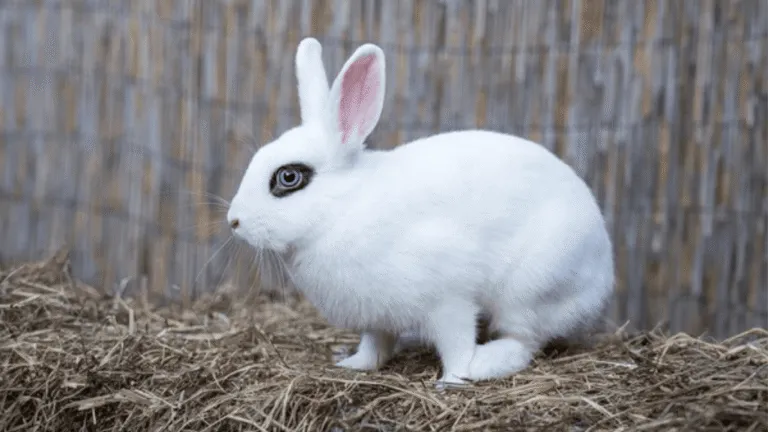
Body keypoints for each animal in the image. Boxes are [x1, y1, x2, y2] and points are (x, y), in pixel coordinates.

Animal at [226, 37, 615, 387]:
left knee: (524, 340)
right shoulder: (376, 317)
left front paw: (453, 380)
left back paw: (484, 363)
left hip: (530, 289)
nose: (234, 221)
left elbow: (457, 345)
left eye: (289, 177)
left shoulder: (449, 301)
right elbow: (375, 345)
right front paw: (353, 365)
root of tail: (604, 276)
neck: (343, 208)